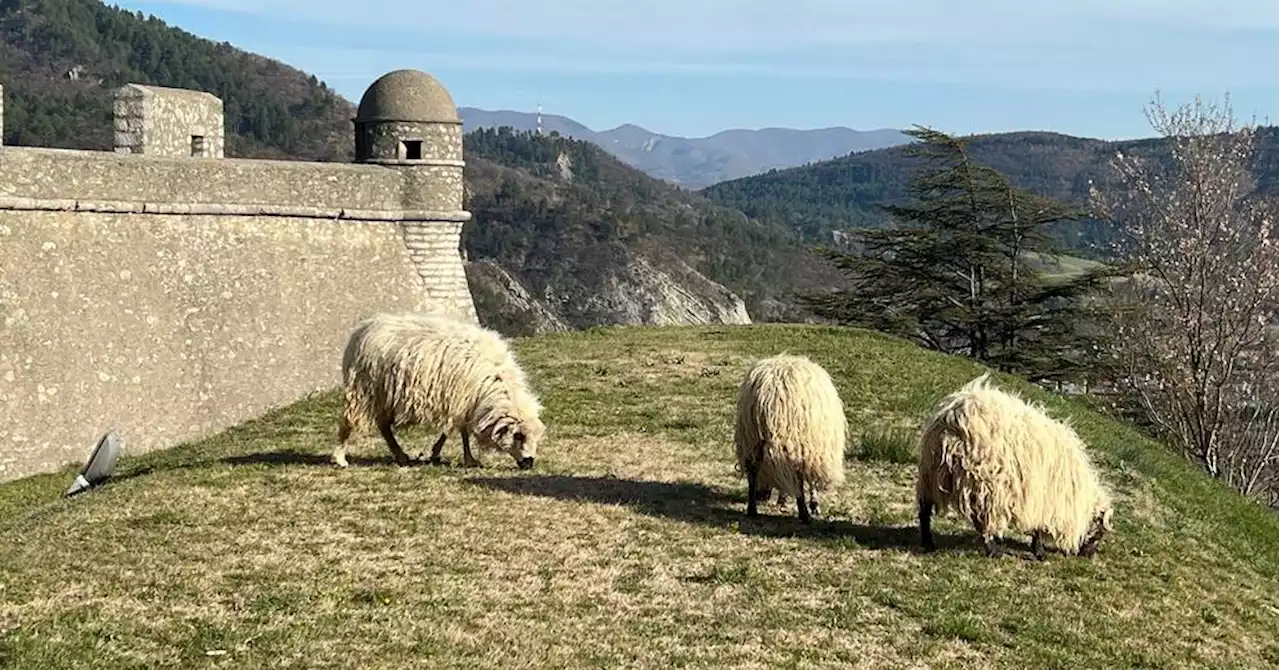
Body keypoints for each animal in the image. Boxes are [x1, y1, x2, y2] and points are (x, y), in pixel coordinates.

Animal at [330, 313, 545, 471]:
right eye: (518, 436)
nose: (529, 463)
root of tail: (364, 328)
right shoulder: (460, 399)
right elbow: (459, 431)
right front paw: (467, 459)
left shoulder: (463, 403)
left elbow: (452, 431)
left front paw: (437, 453)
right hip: (363, 389)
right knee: (350, 421)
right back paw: (340, 458)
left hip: (386, 395)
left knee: (383, 426)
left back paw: (400, 455)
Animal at [737, 356, 844, 525]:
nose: (762, 495)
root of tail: (769, 393)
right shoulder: (813, 449)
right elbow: (811, 481)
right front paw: (814, 504)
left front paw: (783, 498)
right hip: (795, 441)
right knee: (797, 476)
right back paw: (804, 515)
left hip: (751, 438)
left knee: (753, 473)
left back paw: (752, 509)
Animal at [916, 374, 1116, 558]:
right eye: (1099, 532)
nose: (1089, 556)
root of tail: (953, 415)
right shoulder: (1043, 498)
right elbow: (1038, 527)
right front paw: (1039, 552)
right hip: (985, 479)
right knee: (983, 519)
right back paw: (993, 550)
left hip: (933, 471)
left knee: (924, 509)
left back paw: (928, 543)